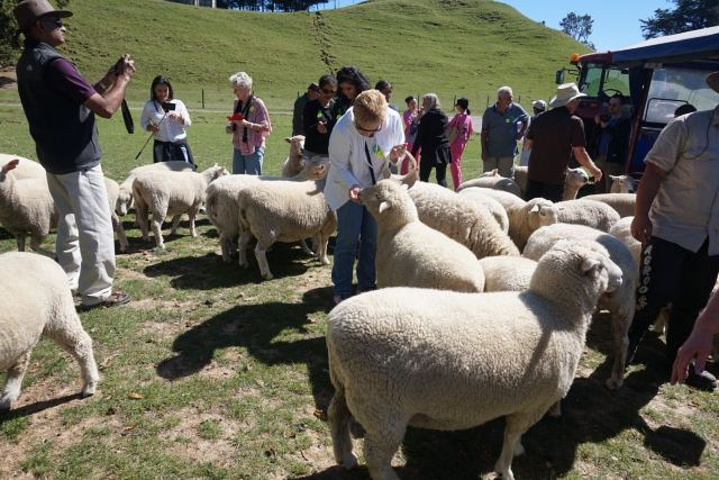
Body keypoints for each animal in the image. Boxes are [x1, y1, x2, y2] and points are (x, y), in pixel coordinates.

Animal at [0, 253, 100, 410]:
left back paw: (89, 385)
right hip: (23, 331)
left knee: (81, 343)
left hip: (59, 311)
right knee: (21, 361)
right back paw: (8, 397)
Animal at [328, 242, 624, 478]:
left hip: (349, 386)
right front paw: (505, 468)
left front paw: (516, 452)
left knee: (336, 415)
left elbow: (514, 433)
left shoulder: (524, 400)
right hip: (383, 405)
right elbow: (512, 433)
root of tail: (335, 324)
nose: (621, 277)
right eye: (600, 266)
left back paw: (345, 457)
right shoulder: (536, 403)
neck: (558, 311)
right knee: (375, 454)